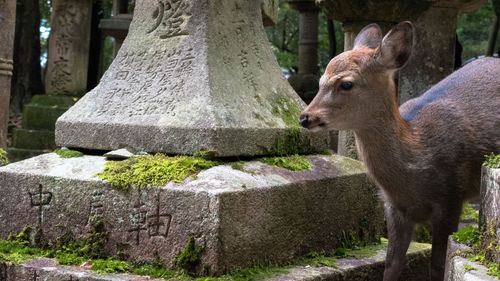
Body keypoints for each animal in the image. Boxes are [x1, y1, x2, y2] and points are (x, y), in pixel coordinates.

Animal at [298, 21, 498, 280]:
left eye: (347, 83)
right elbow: (391, 264)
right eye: (321, 80)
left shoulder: (451, 198)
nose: (305, 117)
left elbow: (438, 265)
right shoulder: (393, 207)